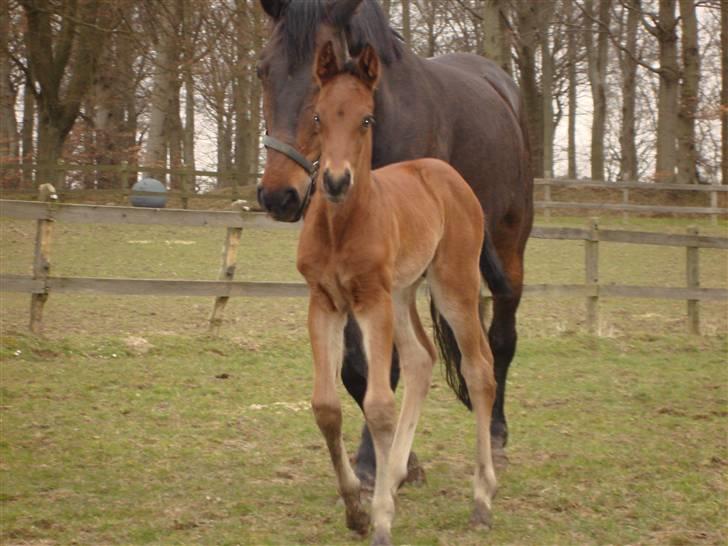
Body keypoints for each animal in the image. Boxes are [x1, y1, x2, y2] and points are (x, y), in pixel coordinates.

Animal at [258, 0, 536, 484]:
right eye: (262, 70)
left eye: (319, 78)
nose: (279, 194)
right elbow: (358, 368)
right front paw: (396, 459)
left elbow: (383, 365)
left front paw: (376, 462)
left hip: (507, 248)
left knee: (500, 339)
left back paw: (497, 436)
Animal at [298, 40, 498, 540]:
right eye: (318, 116)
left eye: (367, 119)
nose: (335, 181)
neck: (340, 227)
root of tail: (449, 176)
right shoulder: (324, 303)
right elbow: (326, 406)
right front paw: (356, 509)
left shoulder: (371, 301)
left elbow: (379, 406)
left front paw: (382, 520)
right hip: (404, 293)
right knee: (421, 359)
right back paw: (398, 475)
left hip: (453, 285)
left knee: (479, 370)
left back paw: (482, 498)